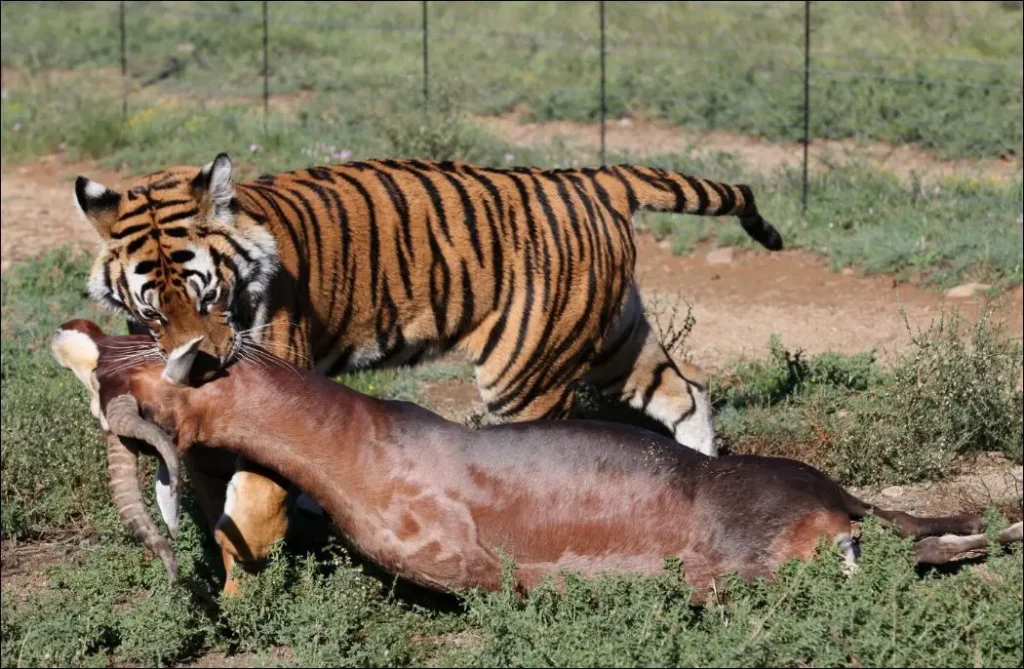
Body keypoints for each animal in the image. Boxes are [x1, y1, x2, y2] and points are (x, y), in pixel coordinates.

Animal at [73, 153, 782, 594]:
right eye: (153, 310)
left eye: (209, 294)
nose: (204, 362)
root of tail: (592, 178)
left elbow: (251, 505)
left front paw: (247, 595)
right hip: (617, 341)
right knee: (688, 393)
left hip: (526, 372)